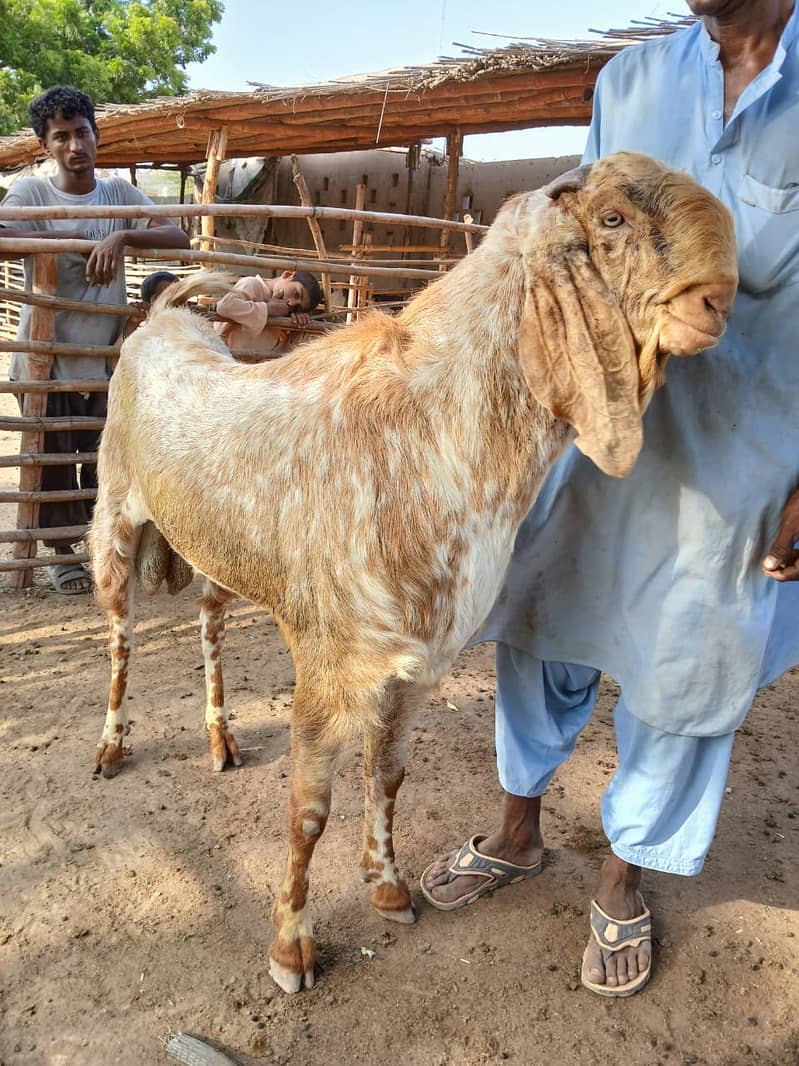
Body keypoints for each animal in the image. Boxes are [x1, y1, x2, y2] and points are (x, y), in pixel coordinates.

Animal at [89, 152, 738, 993]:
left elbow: (387, 774)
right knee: (121, 635)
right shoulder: (329, 663)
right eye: (612, 219)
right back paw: (110, 748)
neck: (430, 432)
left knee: (208, 620)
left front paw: (389, 887)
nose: (716, 299)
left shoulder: (417, 664)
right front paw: (291, 949)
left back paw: (220, 738)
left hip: (213, 553)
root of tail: (166, 317)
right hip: (114, 519)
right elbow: (308, 810)